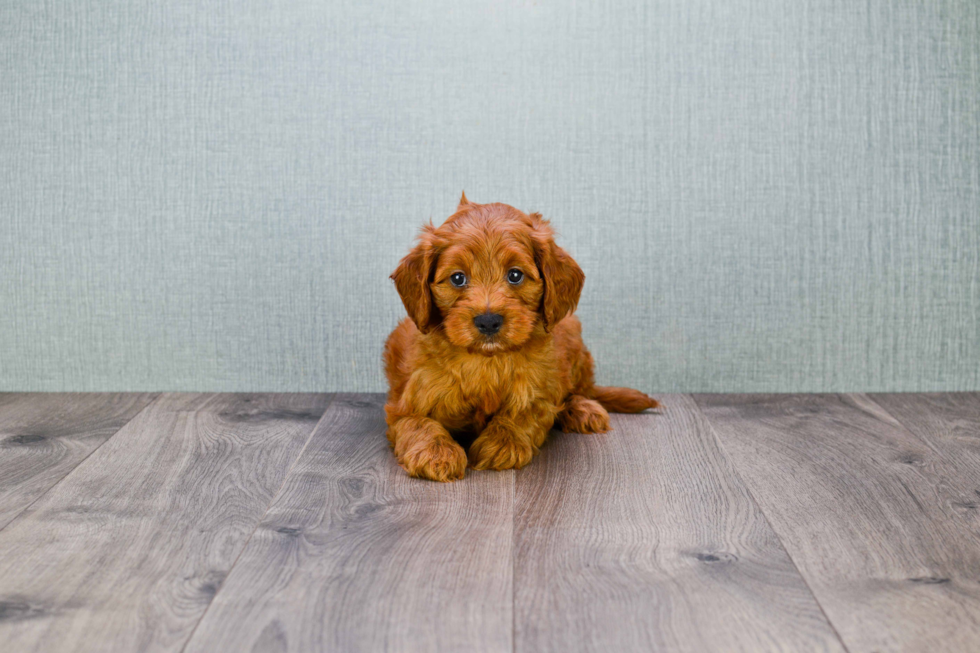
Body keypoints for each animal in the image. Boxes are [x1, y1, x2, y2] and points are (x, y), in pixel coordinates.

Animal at [382, 194, 660, 478]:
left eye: (515, 275)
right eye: (458, 278)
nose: (488, 321)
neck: (487, 361)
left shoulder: (539, 390)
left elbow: (525, 413)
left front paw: (502, 442)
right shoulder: (405, 403)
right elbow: (418, 422)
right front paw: (436, 453)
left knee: (581, 390)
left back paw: (583, 409)